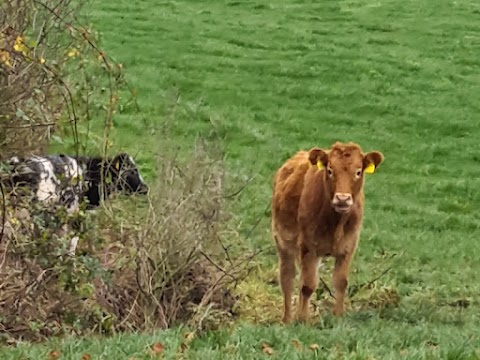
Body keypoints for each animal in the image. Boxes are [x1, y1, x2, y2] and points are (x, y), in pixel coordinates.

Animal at [272, 141, 384, 324]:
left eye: (358, 172)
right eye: (330, 170)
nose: (342, 199)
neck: (336, 224)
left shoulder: (349, 246)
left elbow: (341, 281)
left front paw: (338, 315)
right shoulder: (308, 246)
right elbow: (307, 285)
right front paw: (302, 319)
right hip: (283, 243)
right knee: (287, 278)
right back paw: (288, 319)